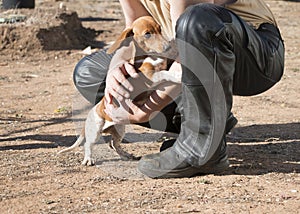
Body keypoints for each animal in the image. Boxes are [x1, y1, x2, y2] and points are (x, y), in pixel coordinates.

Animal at [58, 16, 180, 166]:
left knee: (114, 144)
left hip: (119, 129)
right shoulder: (150, 76)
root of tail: (92, 113)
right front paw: (177, 75)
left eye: (160, 29)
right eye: (147, 34)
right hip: (96, 130)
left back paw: (126, 155)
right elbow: (164, 73)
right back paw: (88, 159)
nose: (168, 47)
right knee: (89, 144)